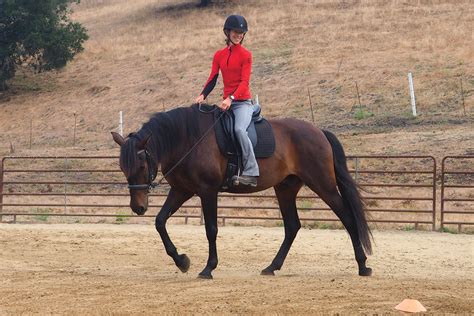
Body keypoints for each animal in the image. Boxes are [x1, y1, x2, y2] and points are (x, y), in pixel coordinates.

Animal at [112, 103, 374, 278]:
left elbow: (211, 229)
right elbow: (160, 221)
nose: (138, 207)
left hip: (323, 184)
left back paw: (362, 266)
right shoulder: (181, 190)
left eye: (142, 165)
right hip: (286, 188)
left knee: (347, 216)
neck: (188, 138)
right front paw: (182, 261)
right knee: (292, 226)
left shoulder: (207, 191)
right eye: (123, 167)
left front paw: (208, 268)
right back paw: (272, 267)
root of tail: (319, 132)